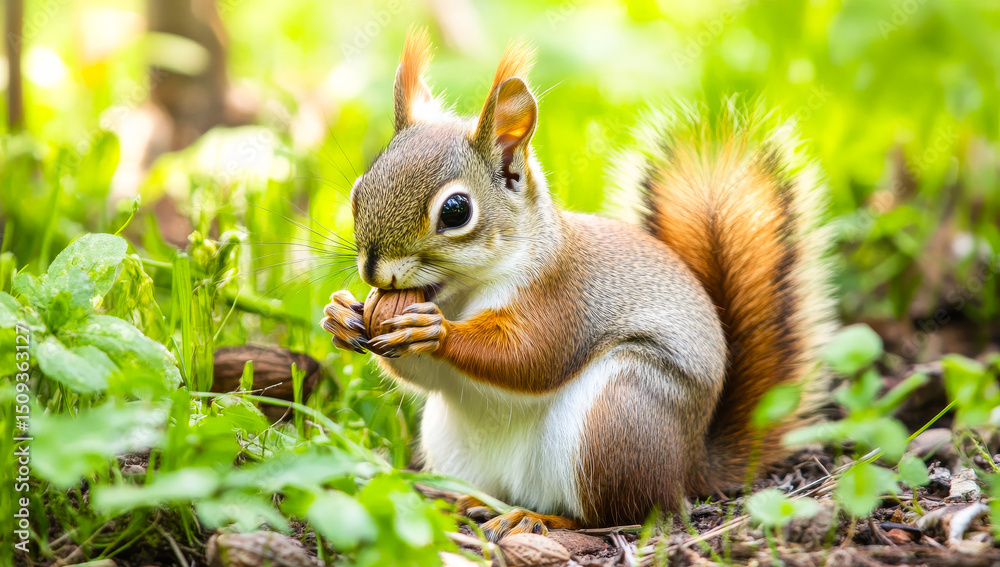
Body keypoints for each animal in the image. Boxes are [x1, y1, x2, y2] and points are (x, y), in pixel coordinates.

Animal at [321, 29, 835, 540]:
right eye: (358, 190)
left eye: (455, 211)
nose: (372, 271)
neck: (461, 294)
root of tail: (689, 466)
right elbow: (423, 374)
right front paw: (342, 314)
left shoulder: (561, 297)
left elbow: (531, 357)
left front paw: (434, 331)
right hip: (454, 442)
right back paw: (475, 503)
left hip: (617, 418)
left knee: (617, 514)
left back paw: (540, 518)